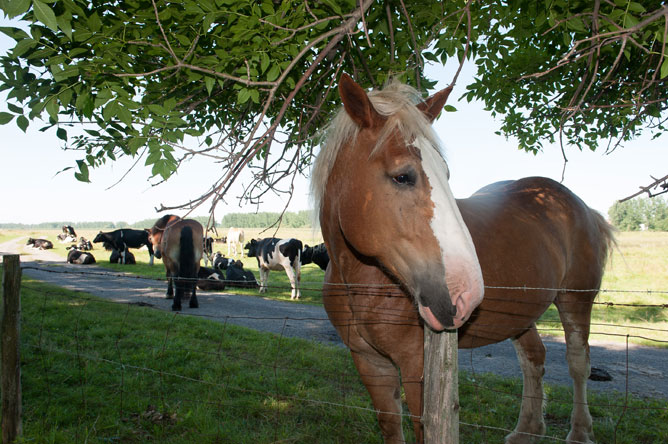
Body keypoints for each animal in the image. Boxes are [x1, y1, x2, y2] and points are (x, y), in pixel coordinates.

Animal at [310, 75, 612, 444]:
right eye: (402, 176)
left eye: (446, 174)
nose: (466, 293)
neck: (364, 281)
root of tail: (579, 204)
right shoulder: (369, 362)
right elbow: (390, 425)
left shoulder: (417, 367)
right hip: (520, 315)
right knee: (534, 359)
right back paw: (526, 431)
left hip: (576, 300)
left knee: (578, 362)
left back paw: (580, 432)